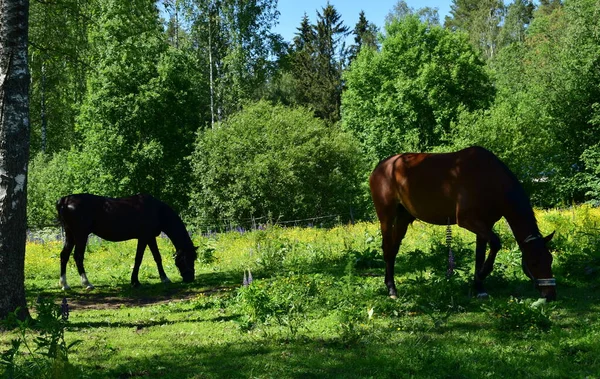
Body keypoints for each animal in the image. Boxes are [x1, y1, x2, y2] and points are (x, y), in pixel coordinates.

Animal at [56, 194, 198, 290]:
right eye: (187, 259)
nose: (190, 278)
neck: (157, 210)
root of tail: (65, 200)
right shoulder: (144, 237)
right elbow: (138, 259)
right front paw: (135, 281)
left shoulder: (150, 237)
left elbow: (157, 257)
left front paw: (165, 278)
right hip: (81, 235)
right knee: (78, 256)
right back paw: (87, 283)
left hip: (70, 235)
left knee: (64, 255)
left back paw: (64, 284)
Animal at [370, 147, 556, 302]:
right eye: (534, 263)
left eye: (550, 259)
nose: (550, 295)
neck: (489, 178)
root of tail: (381, 166)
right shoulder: (467, 220)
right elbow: (496, 243)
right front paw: (482, 274)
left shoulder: (485, 224)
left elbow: (480, 255)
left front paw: (479, 287)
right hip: (386, 217)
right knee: (387, 248)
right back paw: (391, 289)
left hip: (403, 217)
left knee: (393, 250)